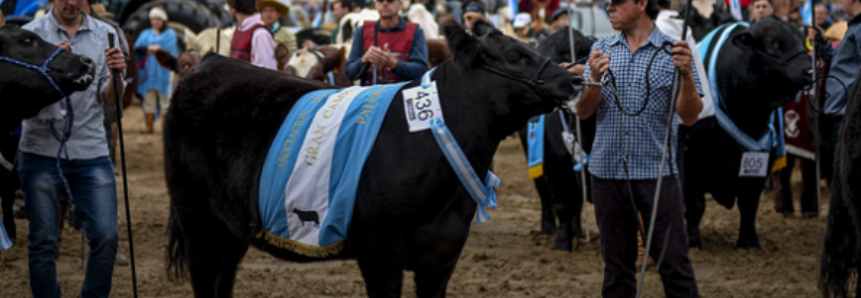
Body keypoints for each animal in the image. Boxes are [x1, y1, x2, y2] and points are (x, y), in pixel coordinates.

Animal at [164, 19, 584, 296]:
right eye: (516, 55)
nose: (576, 78)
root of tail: (209, 62)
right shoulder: (379, 251)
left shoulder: (443, 255)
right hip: (195, 219)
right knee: (204, 277)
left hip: (232, 228)